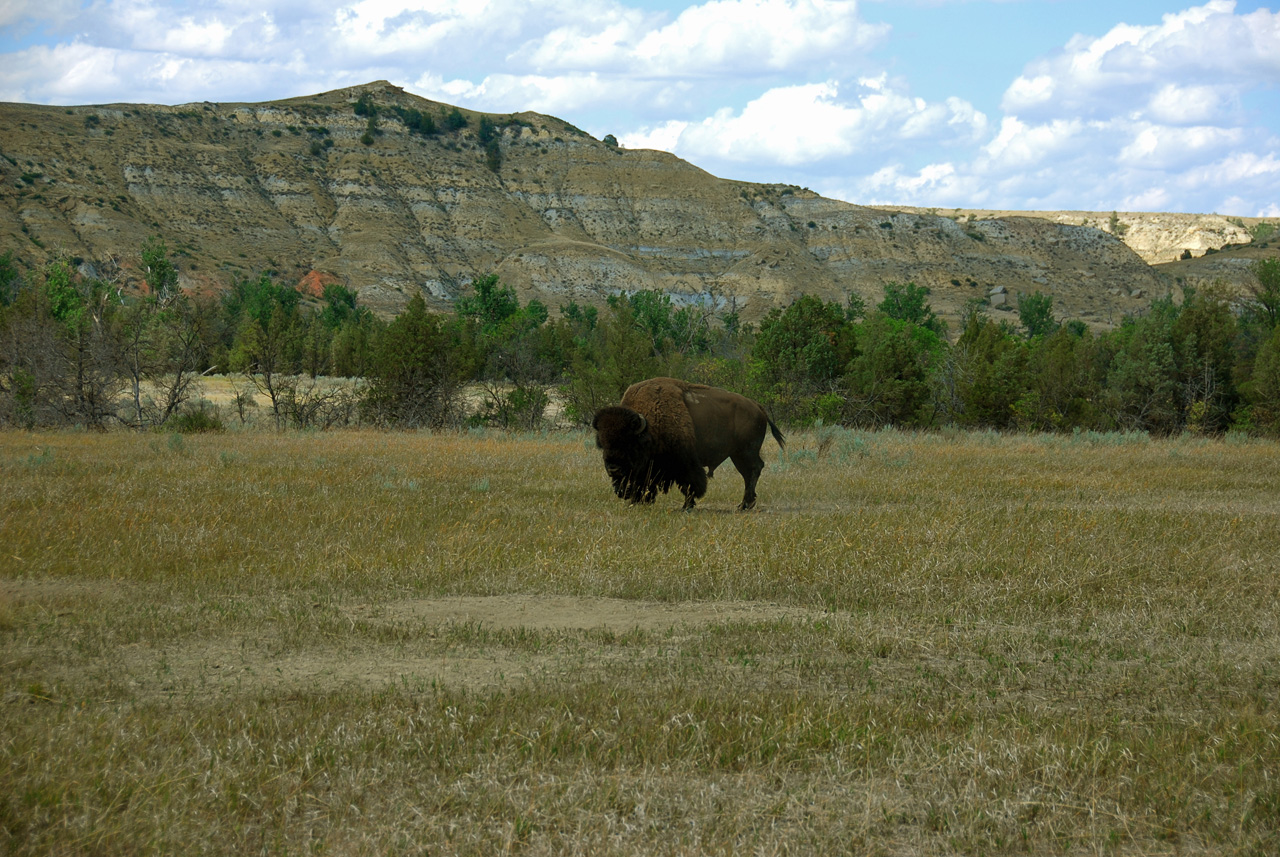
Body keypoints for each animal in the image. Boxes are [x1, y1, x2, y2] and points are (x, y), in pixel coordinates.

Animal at [591, 378, 788, 511]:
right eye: (602, 444)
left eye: (629, 443)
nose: (613, 468)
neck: (649, 429)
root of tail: (757, 406)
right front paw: (639, 501)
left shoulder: (685, 463)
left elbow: (690, 485)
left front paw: (687, 506)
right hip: (737, 454)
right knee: (749, 473)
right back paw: (746, 504)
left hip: (745, 451)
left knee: (753, 470)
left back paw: (744, 505)